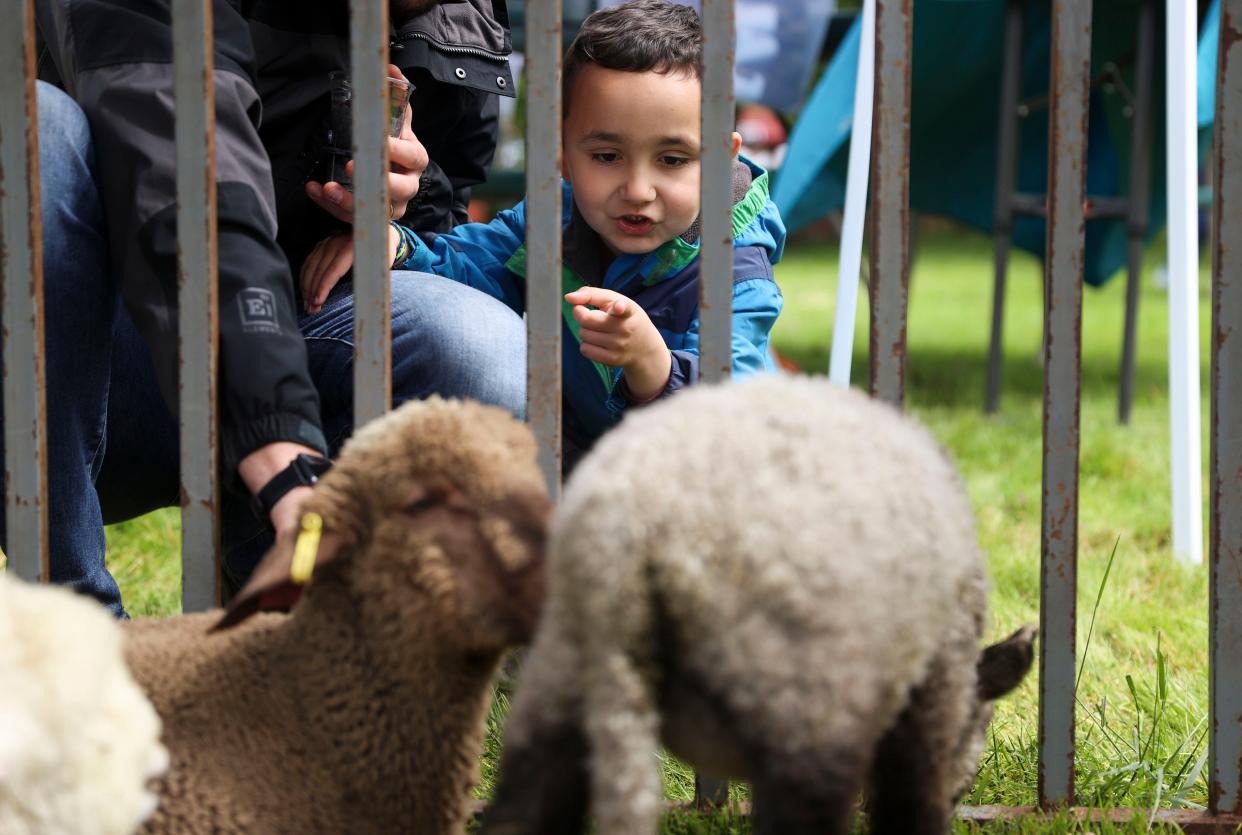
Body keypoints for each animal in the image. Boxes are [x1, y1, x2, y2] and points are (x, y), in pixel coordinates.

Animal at [479, 377, 1033, 835]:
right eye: (977, 730)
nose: (959, 797)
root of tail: (624, 533)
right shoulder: (932, 694)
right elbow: (910, 809)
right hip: (802, 693)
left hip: (561, 667)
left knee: (521, 809)